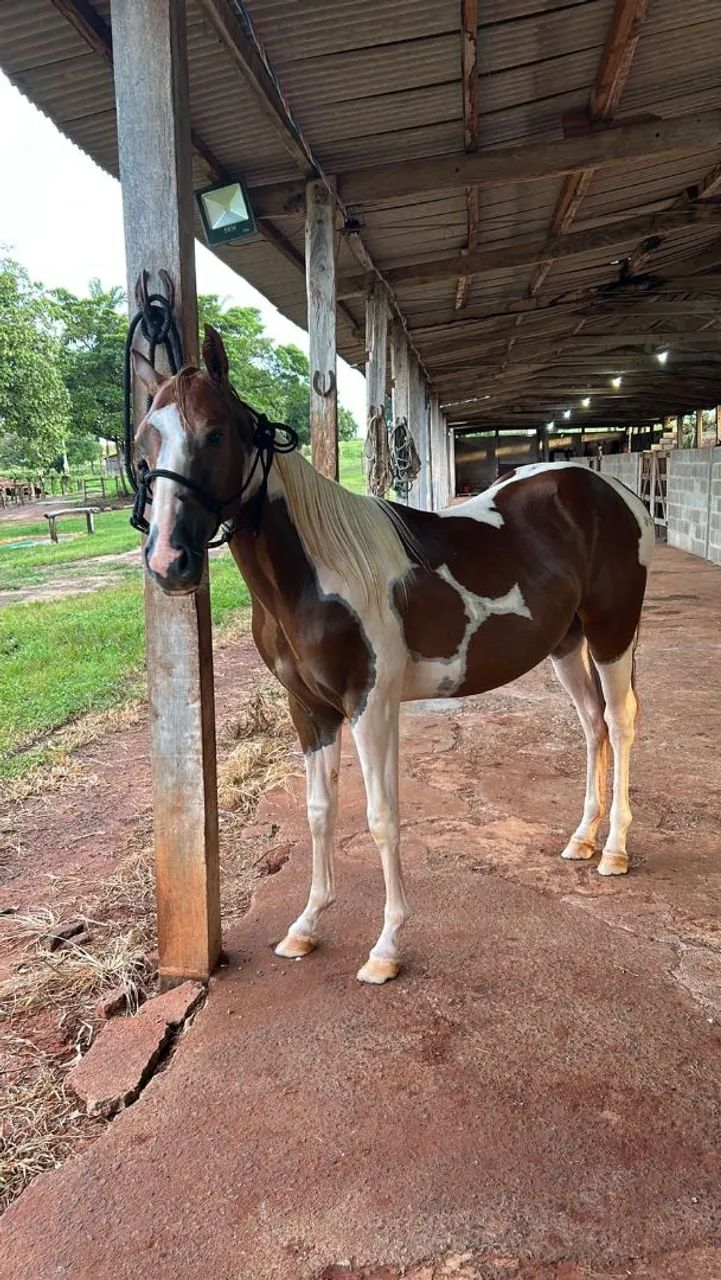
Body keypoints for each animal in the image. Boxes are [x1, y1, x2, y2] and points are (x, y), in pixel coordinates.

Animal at [132, 325, 654, 985]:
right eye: (144, 442)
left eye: (215, 431)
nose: (168, 562)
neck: (317, 574)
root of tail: (614, 491)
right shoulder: (311, 711)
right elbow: (320, 812)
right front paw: (305, 927)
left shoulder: (371, 705)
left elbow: (381, 817)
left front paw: (386, 947)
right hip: (566, 643)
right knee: (592, 725)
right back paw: (582, 838)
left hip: (613, 634)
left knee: (620, 720)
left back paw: (614, 849)